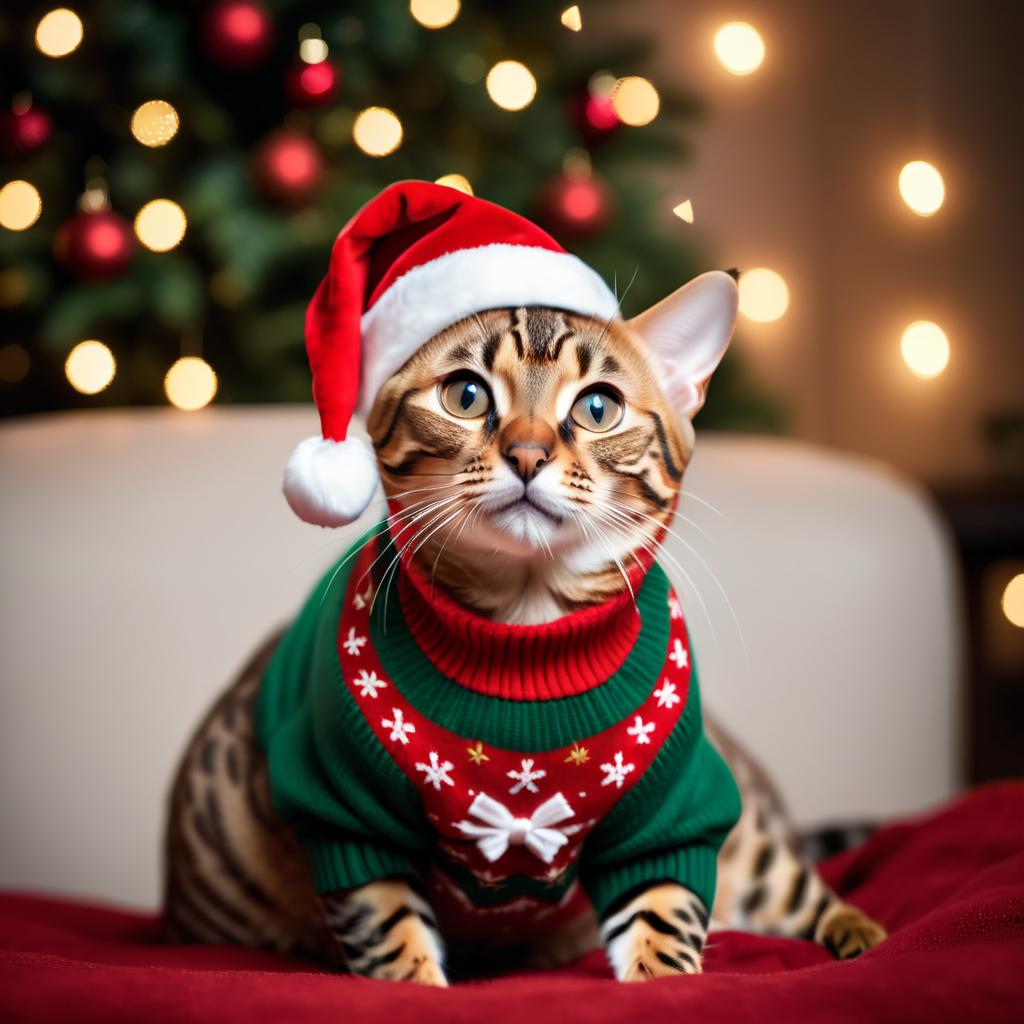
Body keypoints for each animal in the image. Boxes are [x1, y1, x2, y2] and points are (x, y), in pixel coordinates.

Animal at [163, 276, 884, 978]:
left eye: (599, 408)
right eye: (465, 395)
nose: (528, 454)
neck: (526, 631)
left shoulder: (674, 810)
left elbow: (664, 920)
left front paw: (667, 983)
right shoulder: (342, 814)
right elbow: (392, 939)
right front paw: (421, 984)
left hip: (753, 841)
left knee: (801, 887)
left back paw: (862, 934)